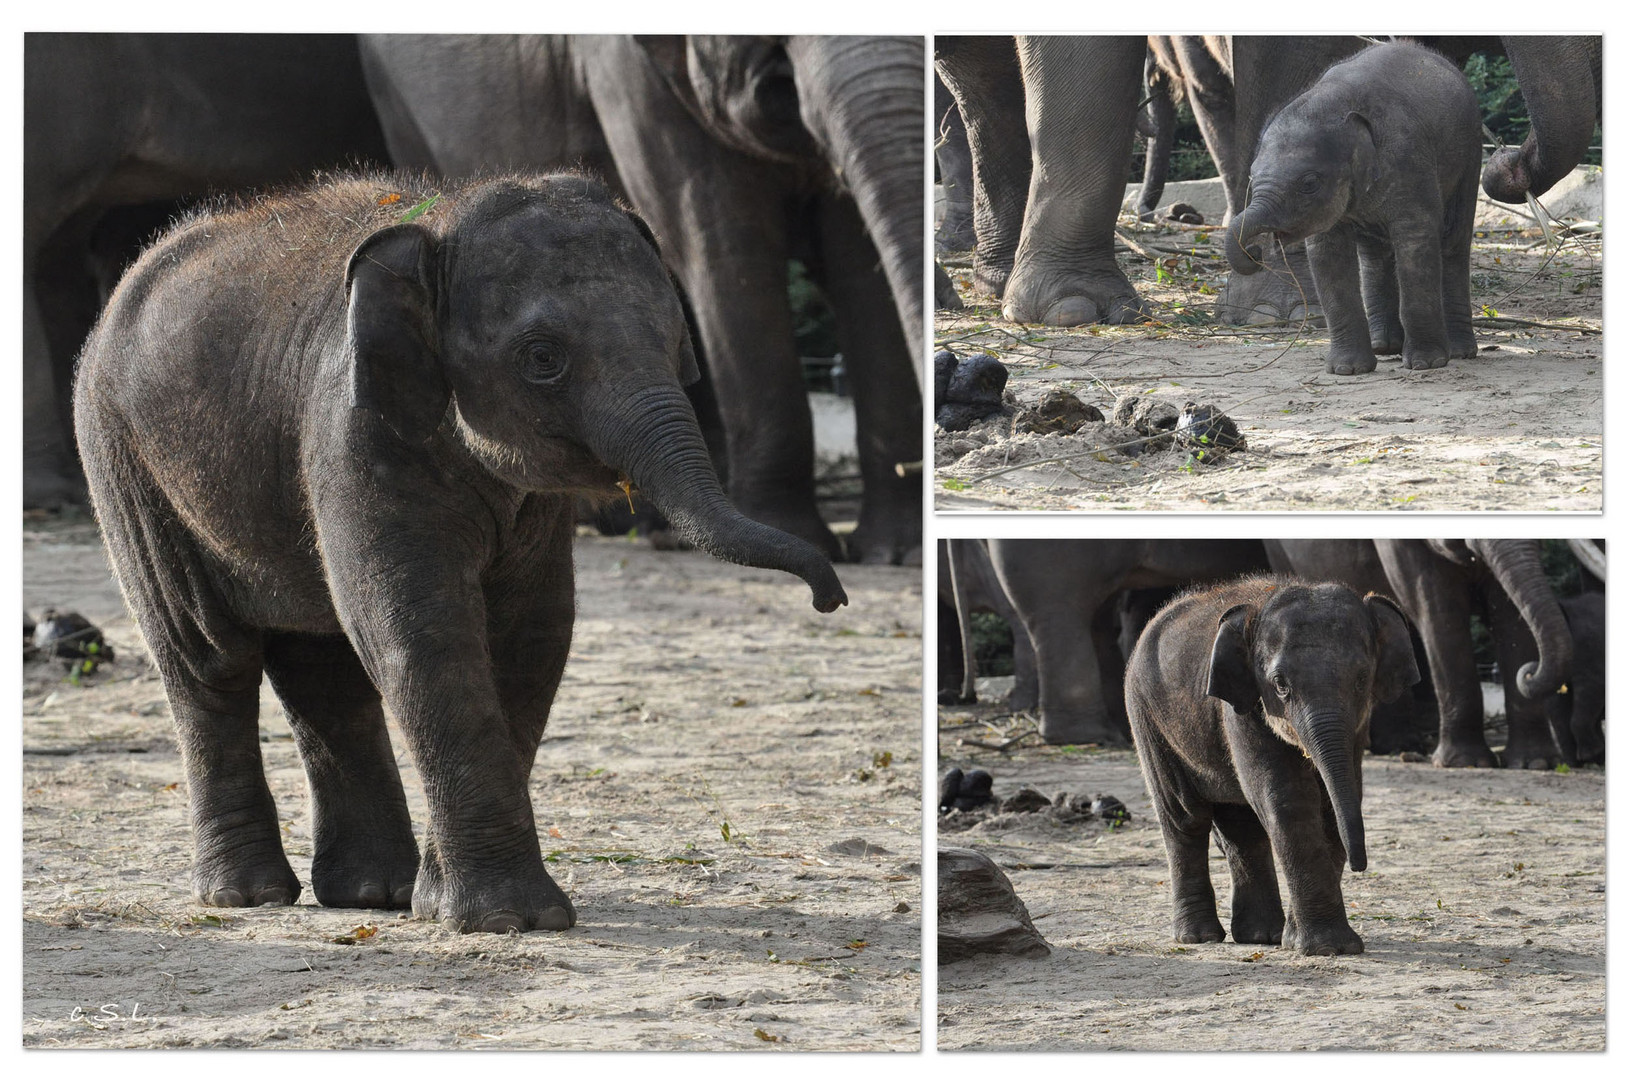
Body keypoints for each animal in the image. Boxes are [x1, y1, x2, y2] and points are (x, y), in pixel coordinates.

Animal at [1124, 578, 1418, 954]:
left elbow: (1331, 802)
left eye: (1362, 678)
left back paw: (1262, 936)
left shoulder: (1356, 727)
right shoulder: (1241, 706)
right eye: (1280, 685)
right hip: (1147, 718)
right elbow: (1287, 799)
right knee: (1184, 818)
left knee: (1242, 827)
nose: (1360, 866)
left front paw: (1301, 942)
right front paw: (1327, 948)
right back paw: (1198, 937)